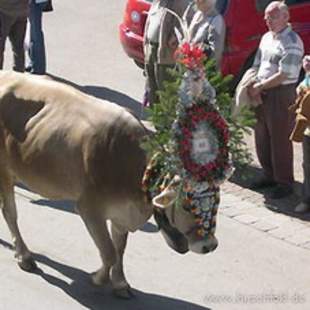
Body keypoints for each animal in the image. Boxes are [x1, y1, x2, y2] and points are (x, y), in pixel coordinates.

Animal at [0, 70, 218, 298]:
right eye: (187, 205)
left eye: (216, 203)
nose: (210, 246)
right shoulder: (89, 209)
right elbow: (108, 252)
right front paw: (99, 278)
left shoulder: (121, 214)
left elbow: (119, 248)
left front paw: (120, 283)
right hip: (5, 170)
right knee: (10, 213)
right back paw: (24, 256)